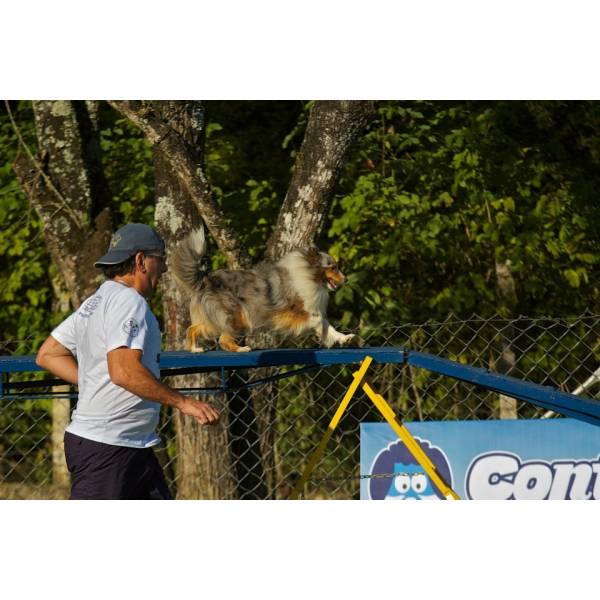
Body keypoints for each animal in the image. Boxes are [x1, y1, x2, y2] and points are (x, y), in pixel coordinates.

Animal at [169, 227, 354, 354]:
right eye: (333, 267)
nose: (346, 279)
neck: (308, 275)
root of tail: (206, 279)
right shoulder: (292, 313)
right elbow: (318, 321)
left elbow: (328, 326)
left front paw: (344, 338)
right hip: (235, 315)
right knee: (223, 339)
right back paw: (241, 349)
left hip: (215, 318)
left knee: (192, 328)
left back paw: (195, 349)